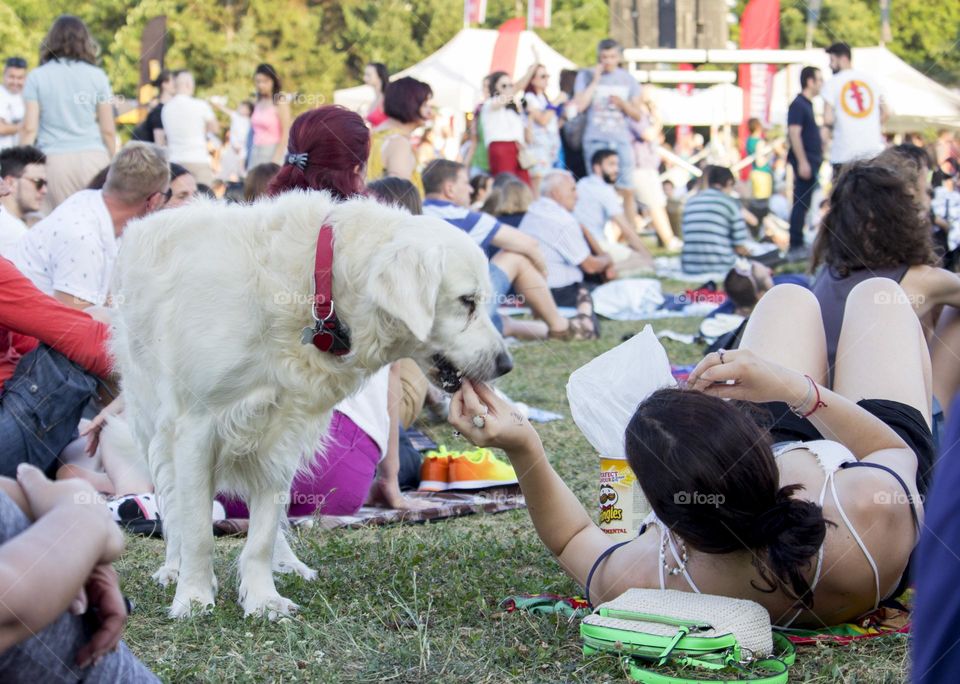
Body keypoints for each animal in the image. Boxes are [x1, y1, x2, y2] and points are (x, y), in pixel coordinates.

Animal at [109, 190, 512, 616]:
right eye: (467, 301)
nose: (506, 364)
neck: (317, 288)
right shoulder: (197, 426)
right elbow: (198, 528)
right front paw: (194, 596)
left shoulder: (282, 431)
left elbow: (262, 533)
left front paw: (263, 598)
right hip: (152, 423)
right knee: (171, 500)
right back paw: (174, 567)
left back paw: (286, 563)